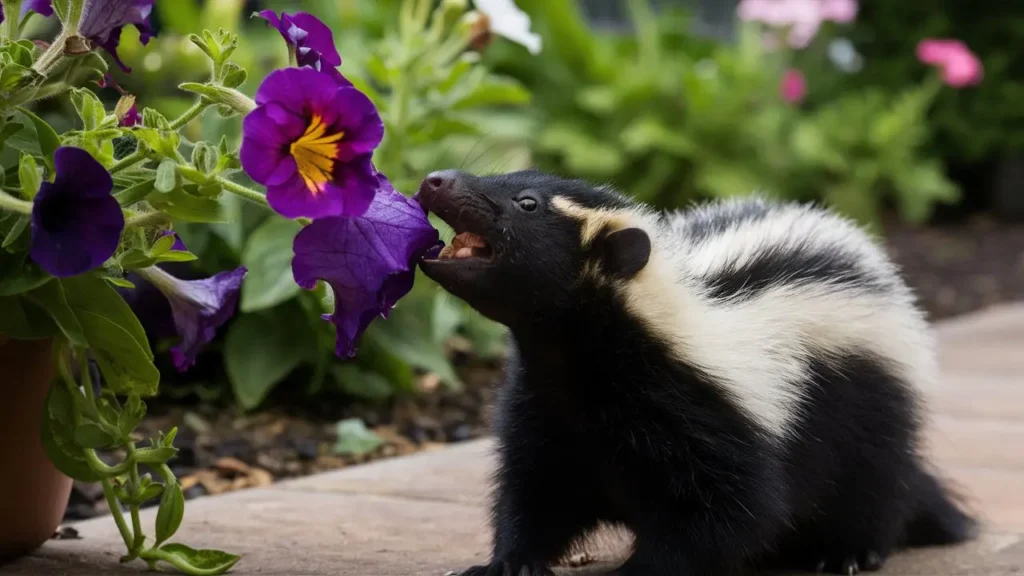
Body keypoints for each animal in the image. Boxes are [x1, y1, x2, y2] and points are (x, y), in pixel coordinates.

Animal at [415, 168, 974, 569]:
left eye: (527, 203)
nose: (437, 179)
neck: (576, 368)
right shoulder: (546, 415)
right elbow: (536, 491)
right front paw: (509, 563)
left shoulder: (714, 418)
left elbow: (731, 515)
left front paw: (638, 573)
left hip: (871, 409)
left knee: (875, 487)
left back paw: (848, 552)